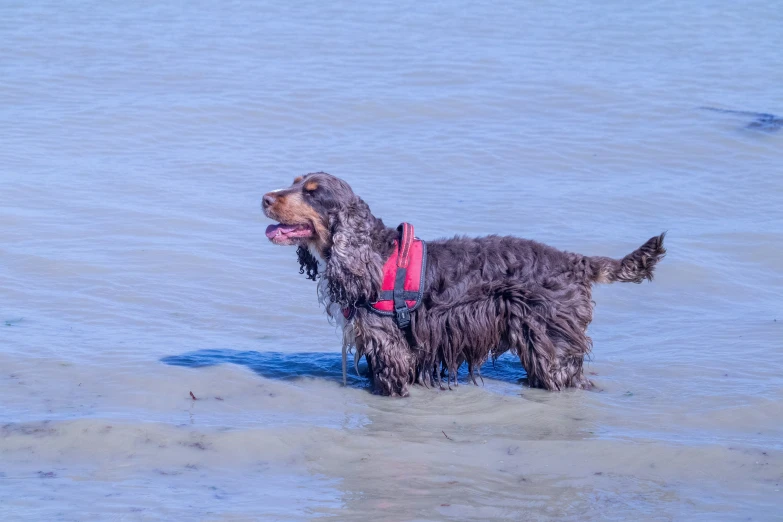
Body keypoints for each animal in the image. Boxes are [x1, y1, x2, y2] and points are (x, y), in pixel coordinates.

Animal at [264, 171, 668, 394]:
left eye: (313, 192)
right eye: (294, 182)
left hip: (552, 345)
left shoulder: (389, 347)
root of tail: (574, 261)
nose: (265, 198)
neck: (370, 255)